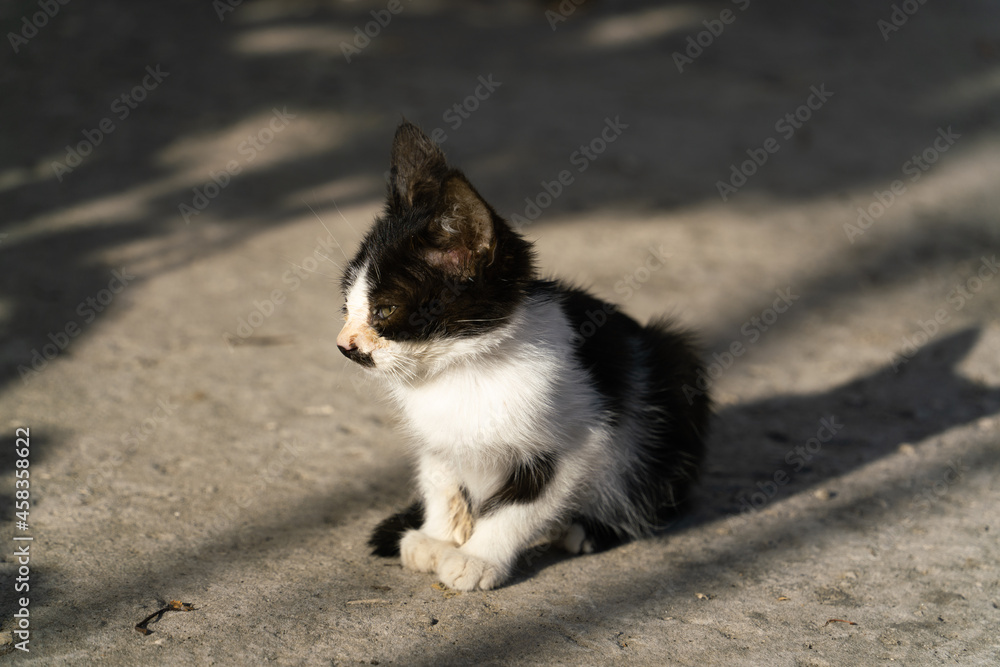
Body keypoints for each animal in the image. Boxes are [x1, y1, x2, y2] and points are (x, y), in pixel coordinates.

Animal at [338, 122, 712, 592]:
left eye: (385, 310)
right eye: (346, 302)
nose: (344, 345)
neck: (461, 369)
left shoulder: (579, 441)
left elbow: (520, 505)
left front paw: (478, 557)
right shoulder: (436, 439)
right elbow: (441, 480)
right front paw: (438, 538)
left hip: (675, 368)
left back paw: (589, 528)